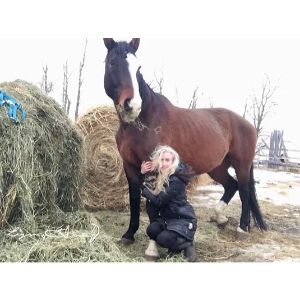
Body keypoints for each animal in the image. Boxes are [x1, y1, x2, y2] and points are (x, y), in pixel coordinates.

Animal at [102, 37, 268, 245]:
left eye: (138, 67)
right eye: (112, 63)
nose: (132, 105)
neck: (145, 121)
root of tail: (248, 124)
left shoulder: (154, 168)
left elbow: (153, 202)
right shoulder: (130, 166)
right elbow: (134, 199)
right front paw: (128, 235)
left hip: (242, 165)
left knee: (245, 191)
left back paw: (242, 228)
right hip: (217, 167)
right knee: (232, 185)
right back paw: (220, 219)